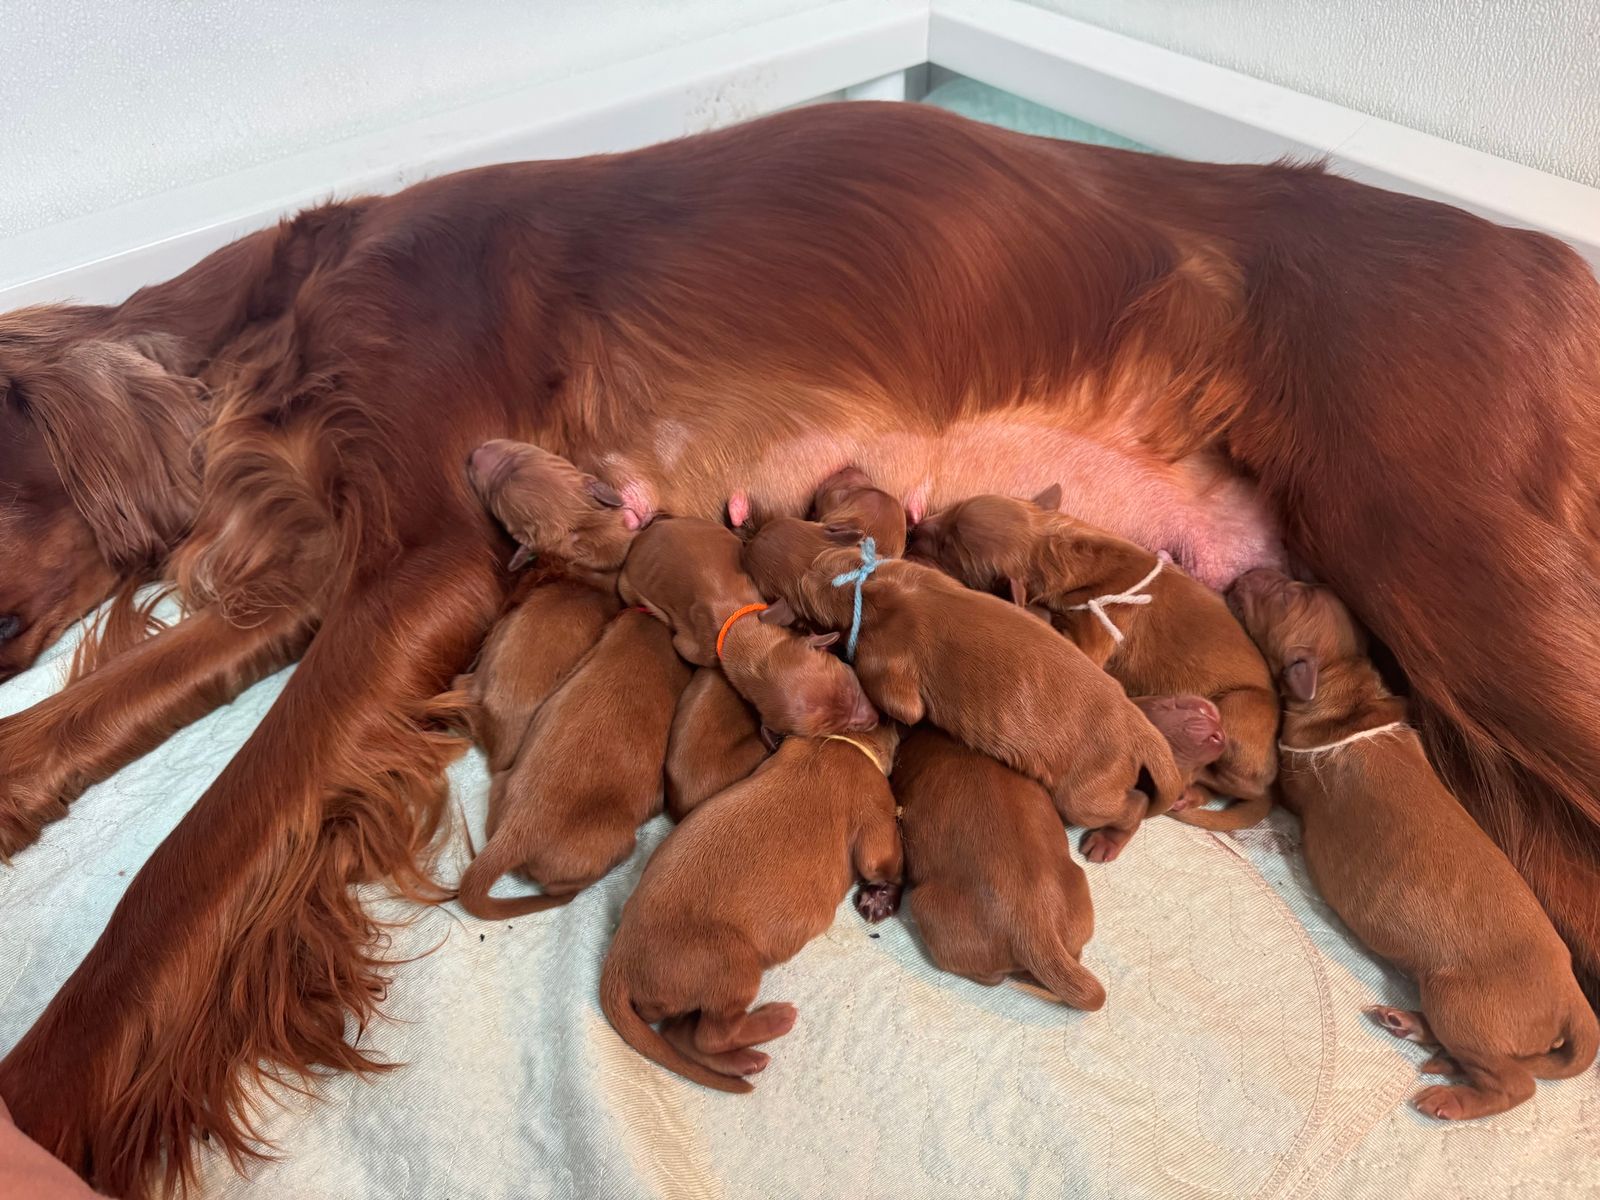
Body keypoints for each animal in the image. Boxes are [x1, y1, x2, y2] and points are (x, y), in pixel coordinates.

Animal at [599, 723, 902, 1091]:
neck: (833, 745)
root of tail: (618, 963)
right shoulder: (875, 820)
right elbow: (887, 860)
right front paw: (883, 895)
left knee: (682, 1035)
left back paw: (744, 1061)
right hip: (733, 964)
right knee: (713, 1035)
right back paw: (774, 1021)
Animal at [618, 515, 877, 735]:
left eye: (849, 684)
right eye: (843, 729)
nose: (876, 718)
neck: (742, 632)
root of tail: (643, 537)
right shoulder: (689, 646)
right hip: (628, 586)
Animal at [743, 516, 1184, 858]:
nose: (750, 532)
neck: (852, 582)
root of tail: (1141, 730)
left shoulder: (886, 668)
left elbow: (904, 707)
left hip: (1086, 793)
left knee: (1132, 806)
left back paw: (1107, 840)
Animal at [911, 487, 1278, 828]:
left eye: (946, 546)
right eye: (951, 510)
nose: (914, 529)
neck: (1058, 550)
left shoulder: (1095, 632)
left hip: (1239, 710)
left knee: (1228, 779)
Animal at [1228, 568, 1597, 1119]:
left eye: (1283, 595)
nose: (1250, 572)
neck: (1348, 686)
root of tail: (1574, 998)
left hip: (1462, 1005)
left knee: (1514, 1083)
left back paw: (1451, 1100)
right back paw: (1407, 1024)